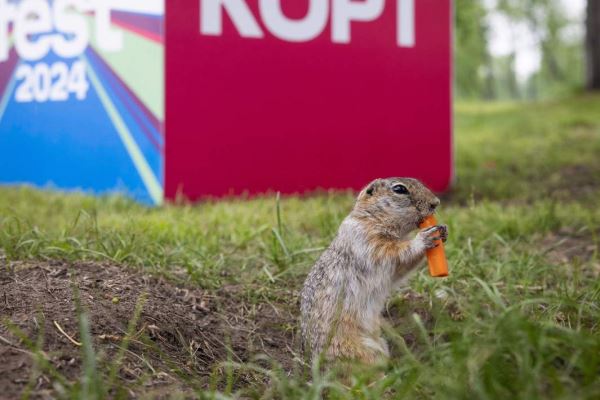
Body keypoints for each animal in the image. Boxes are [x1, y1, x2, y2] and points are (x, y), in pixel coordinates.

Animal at [298, 178, 446, 366]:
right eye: (399, 189)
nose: (436, 203)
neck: (371, 217)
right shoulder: (369, 241)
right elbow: (395, 254)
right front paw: (424, 237)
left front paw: (443, 229)